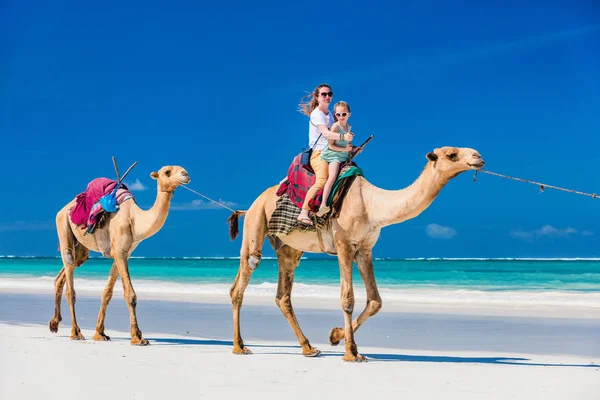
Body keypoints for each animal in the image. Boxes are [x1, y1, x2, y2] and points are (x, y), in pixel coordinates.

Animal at [49, 164, 191, 346]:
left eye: (182, 169)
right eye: (167, 172)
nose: (186, 174)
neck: (135, 219)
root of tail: (63, 209)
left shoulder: (124, 253)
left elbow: (107, 293)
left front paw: (100, 333)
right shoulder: (119, 251)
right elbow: (130, 294)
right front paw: (138, 337)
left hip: (81, 248)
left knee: (65, 272)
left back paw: (54, 323)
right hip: (63, 225)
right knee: (69, 276)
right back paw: (76, 332)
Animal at [227, 146, 486, 360]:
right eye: (451, 154)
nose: (478, 156)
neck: (373, 205)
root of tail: (249, 206)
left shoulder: (365, 249)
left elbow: (375, 301)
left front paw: (335, 336)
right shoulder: (344, 245)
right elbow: (348, 299)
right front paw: (351, 353)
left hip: (288, 248)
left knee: (282, 295)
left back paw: (308, 348)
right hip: (255, 223)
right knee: (243, 278)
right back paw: (240, 346)